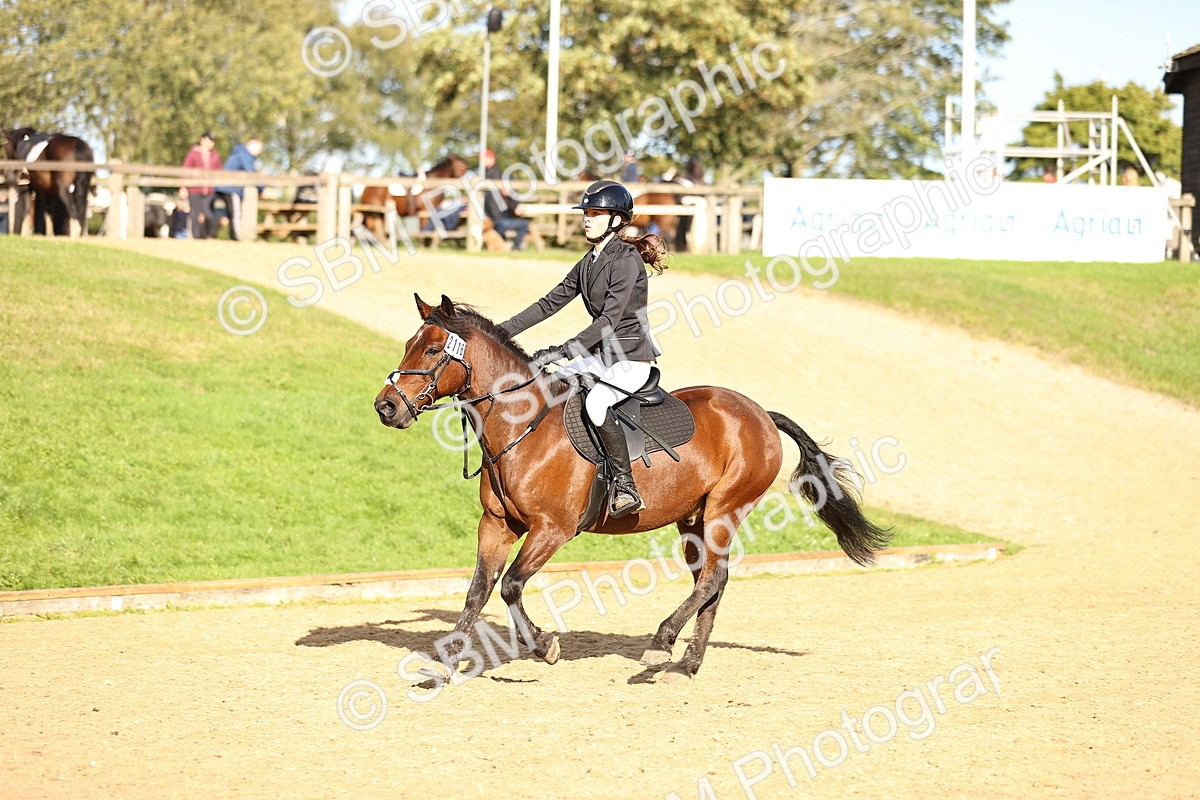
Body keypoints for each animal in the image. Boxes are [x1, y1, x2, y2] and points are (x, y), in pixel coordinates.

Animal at [374, 295, 891, 682]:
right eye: (409, 344)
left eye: (433, 352)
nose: (385, 407)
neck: (522, 428)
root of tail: (760, 412)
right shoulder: (497, 525)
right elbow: (478, 592)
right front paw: (445, 664)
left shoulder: (552, 530)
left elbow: (511, 586)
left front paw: (544, 646)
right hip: (693, 520)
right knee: (712, 582)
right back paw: (686, 665)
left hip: (725, 509)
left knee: (712, 580)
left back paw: (661, 645)